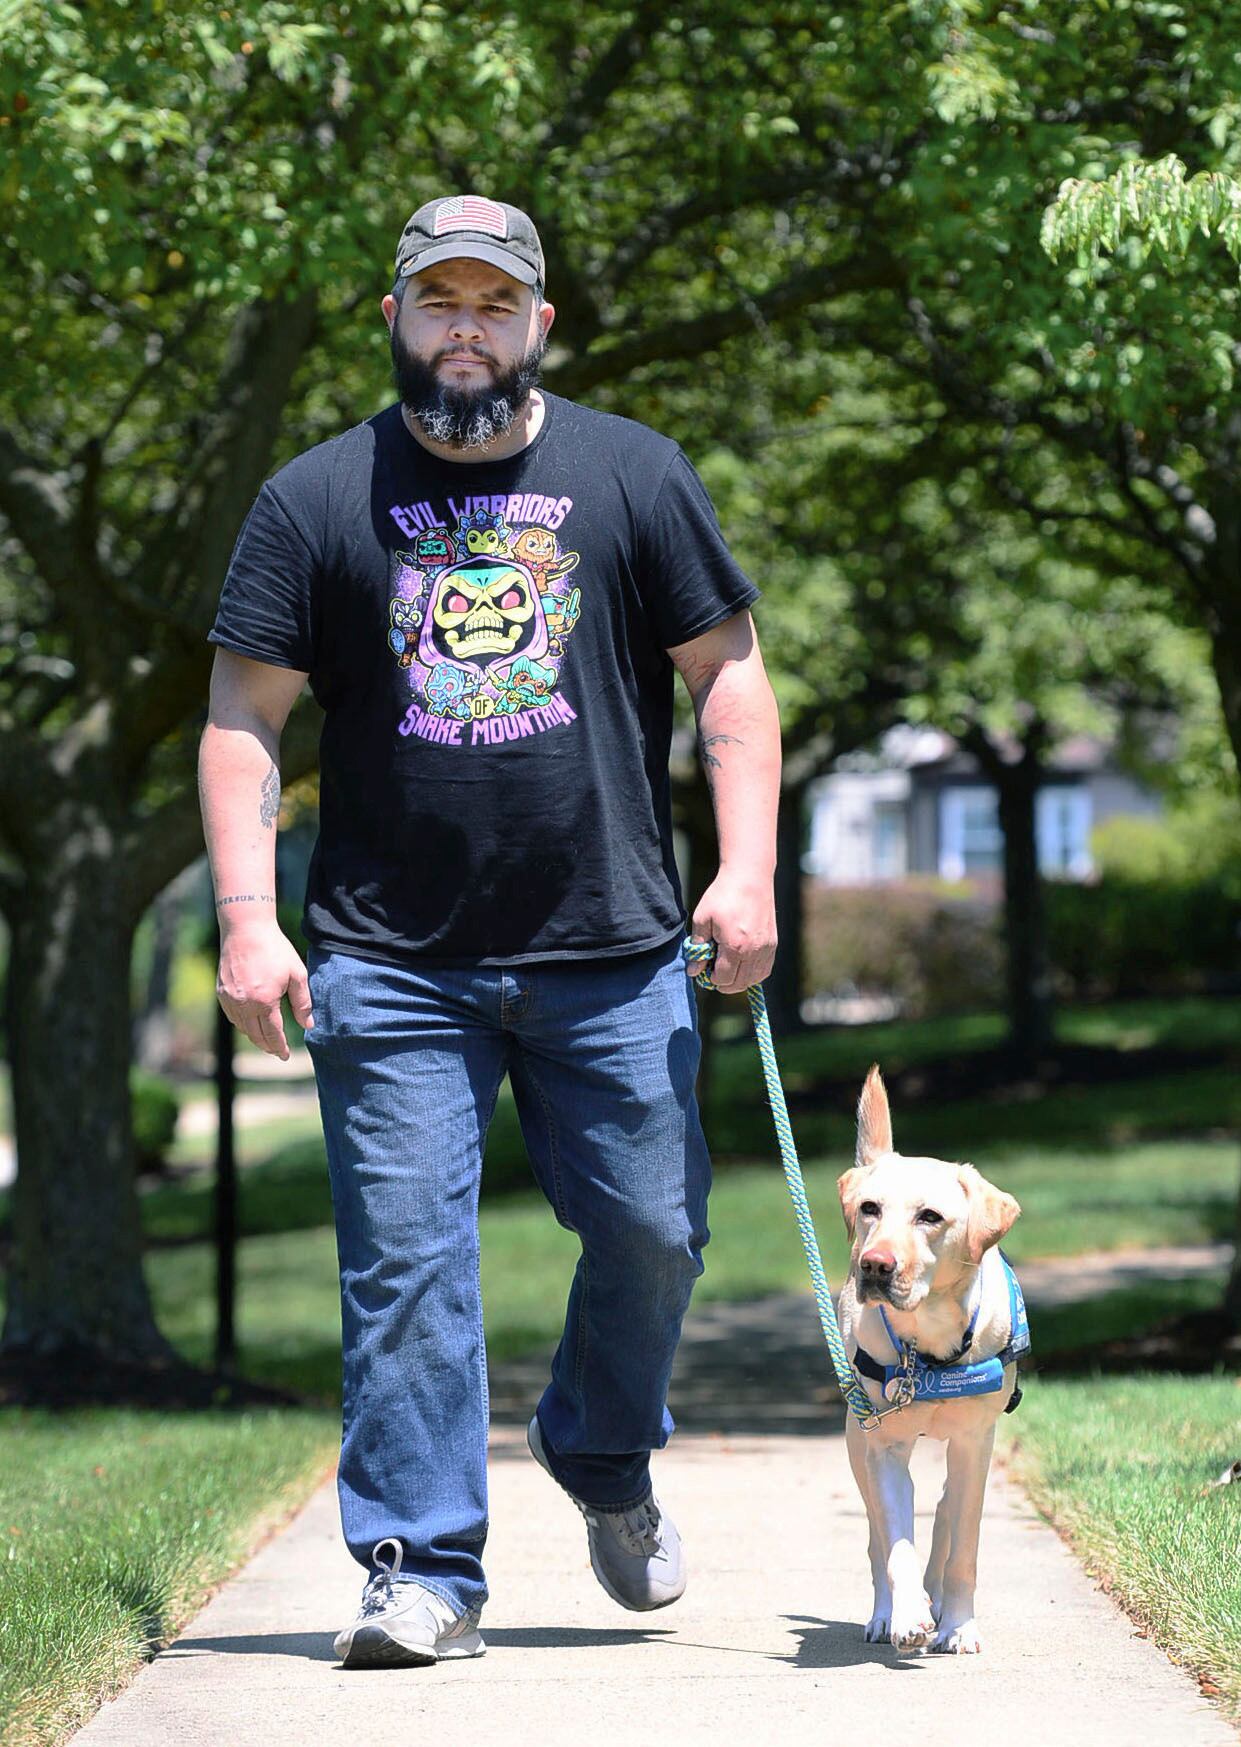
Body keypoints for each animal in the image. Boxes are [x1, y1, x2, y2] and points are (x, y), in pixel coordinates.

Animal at [835, 1062, 1027, 1649]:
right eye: (870, 1209)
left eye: (930, 1216)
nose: (874, 1265)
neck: (927, 1350)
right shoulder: (885, 1447)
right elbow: (896, 1546)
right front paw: (906, 1616)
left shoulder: (974, 1443)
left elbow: (962, 1545)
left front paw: (959, 1625)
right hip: (857, 1443)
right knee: (877, 1539)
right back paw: (886, 1613)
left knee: (945, 1514)